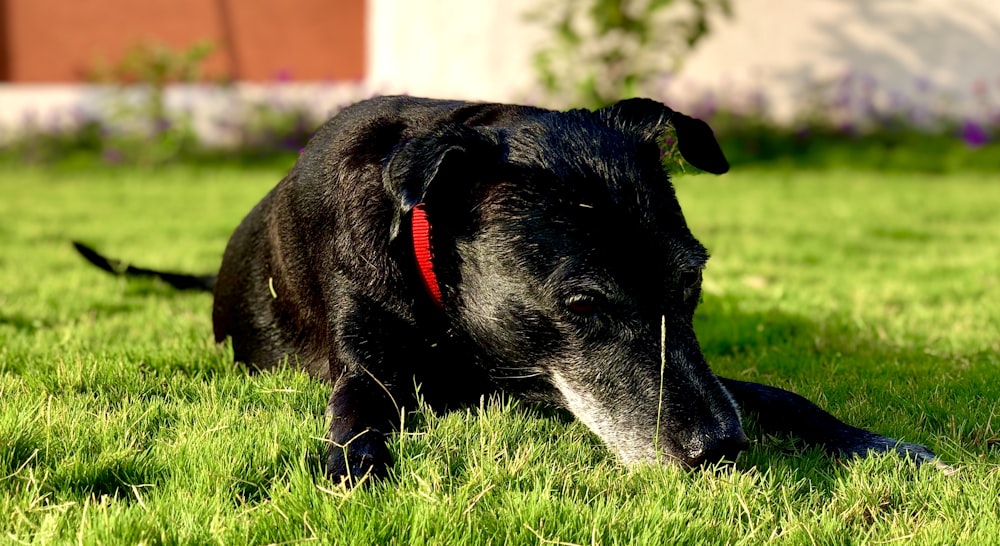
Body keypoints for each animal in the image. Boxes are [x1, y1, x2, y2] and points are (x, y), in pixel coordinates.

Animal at [74, 95, 940, 482]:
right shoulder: (369, 376)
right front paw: (358, 470)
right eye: (583, 304)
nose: (721, 450)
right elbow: (356, 418)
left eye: (692, 279)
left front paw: (876, 440)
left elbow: (775, 393)